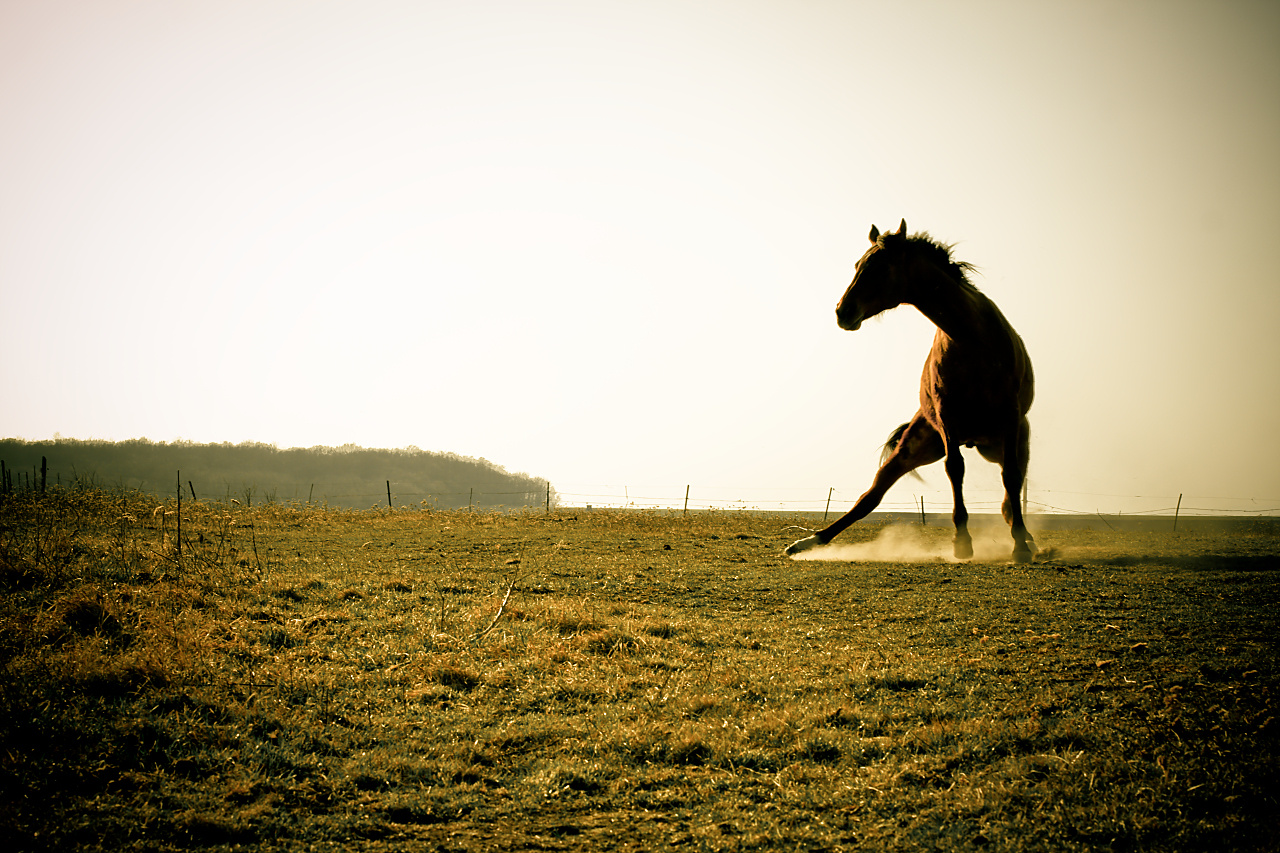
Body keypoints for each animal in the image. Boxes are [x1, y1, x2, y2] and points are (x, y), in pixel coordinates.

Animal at [778, 219, 1039, 560]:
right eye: (857, 265)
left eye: (880, 267)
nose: (842, 312)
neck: (972, 339)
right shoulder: (946, 417)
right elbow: (955, 469)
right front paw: (962, 541)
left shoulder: (1009, 415)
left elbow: (1010, 478)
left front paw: (1019, 545)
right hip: (913, 449)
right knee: (871, 496)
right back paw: (808, 542)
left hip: (1007, 442)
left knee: (1011, 489)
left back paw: (1028, 539)